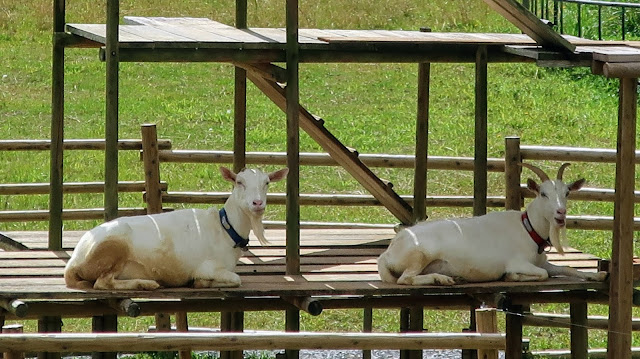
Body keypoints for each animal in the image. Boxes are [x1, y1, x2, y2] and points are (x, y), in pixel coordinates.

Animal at [65, 167, 288, 292]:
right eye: (239, 182)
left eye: (267, 183)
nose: (257, 203)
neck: (225, 229)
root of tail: (74, 261)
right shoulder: (208, 267)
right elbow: (236, 279)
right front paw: (200, 283)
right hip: (112, 248)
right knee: (102, 283)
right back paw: (146, 284)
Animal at [378, 163, 608, 286]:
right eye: (543, 194)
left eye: (567, 192)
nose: (561, 212)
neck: (528, 229)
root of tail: (388, 253)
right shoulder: (519, 262)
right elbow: (540, 275)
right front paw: (512, 276)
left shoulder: (542, 263)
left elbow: (568, 268)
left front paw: (597, 274)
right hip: (419, 255)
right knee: (405, 279)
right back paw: (441, 279)